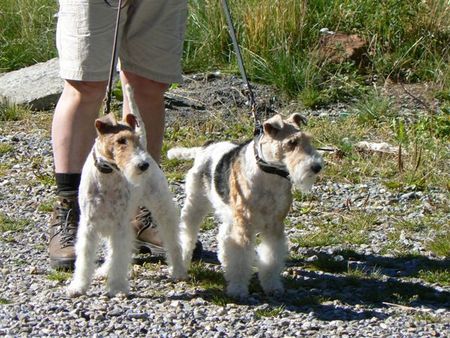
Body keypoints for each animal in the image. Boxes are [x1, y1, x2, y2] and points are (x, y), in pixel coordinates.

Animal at [67, 86, 186, 298]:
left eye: (136, 141)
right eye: (121, 140)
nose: (143, 165)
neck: (107, 175)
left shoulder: (119, 226)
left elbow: (119, 258)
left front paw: (117, 287)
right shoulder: (89, 226)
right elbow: (85, 259)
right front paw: (78, 286)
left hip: (161, 207)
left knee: (172, 240)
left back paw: (178, 270)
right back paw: (103, 270)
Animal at [167, 113, 322, 298]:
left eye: (308, 139)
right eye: (292, 142)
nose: (316, 167)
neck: (268, 174)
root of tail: (206, 146)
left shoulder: (274, 225)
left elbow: (271, 257)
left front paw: (272, 286)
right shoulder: (245, 223)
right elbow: (240, 258)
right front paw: (238, 289)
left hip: (229, 213)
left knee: (223, 237)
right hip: (196, 205)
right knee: (187, 235)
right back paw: (181, 267)